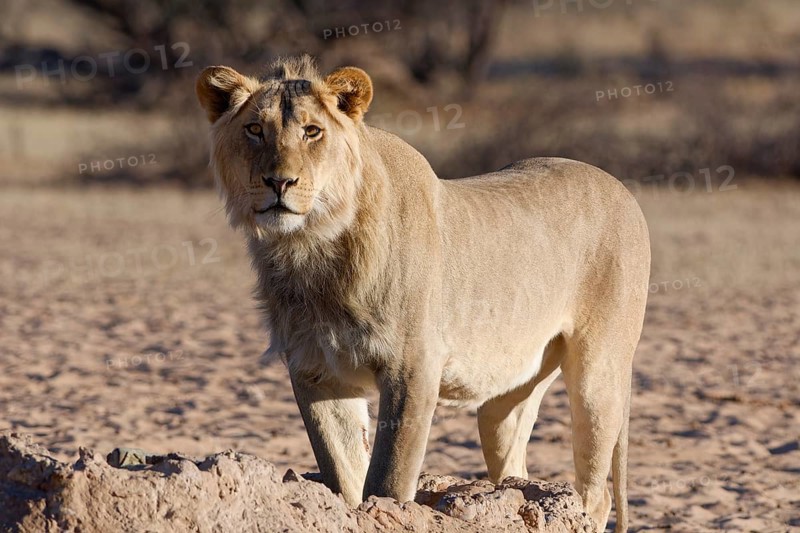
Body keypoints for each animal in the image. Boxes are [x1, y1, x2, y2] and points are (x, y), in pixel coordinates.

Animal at [196, 55, 650, 532]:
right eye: (255, 130)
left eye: (312, 131)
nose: (278, 182)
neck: (311, 248)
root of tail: (621, 187)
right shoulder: (315, 370)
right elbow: (343, 472)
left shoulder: (413, 366)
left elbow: (389, 476)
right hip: (509, 393)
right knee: (513, 462)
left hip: (599, 371)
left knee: (596, 491)